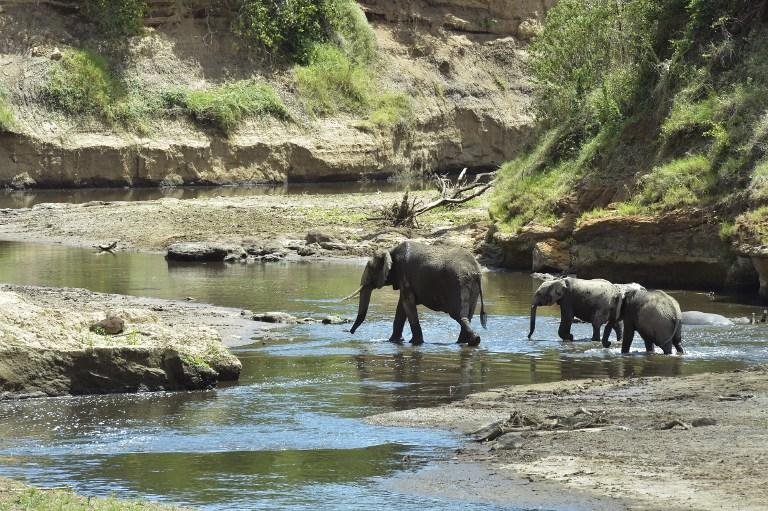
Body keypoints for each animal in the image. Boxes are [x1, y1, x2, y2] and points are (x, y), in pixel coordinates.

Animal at [346, 241, 487, 346]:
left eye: (370, 268)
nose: (350, 332)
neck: (390, 251)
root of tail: (476, 271)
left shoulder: (404, 273)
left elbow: (407, 304)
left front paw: (415, 342)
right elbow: (401, 307)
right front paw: (394, 341)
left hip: (458, 284)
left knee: (458, 315)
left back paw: (473, 340)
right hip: (470, 287)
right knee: (467, 315)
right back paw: (464, 342)